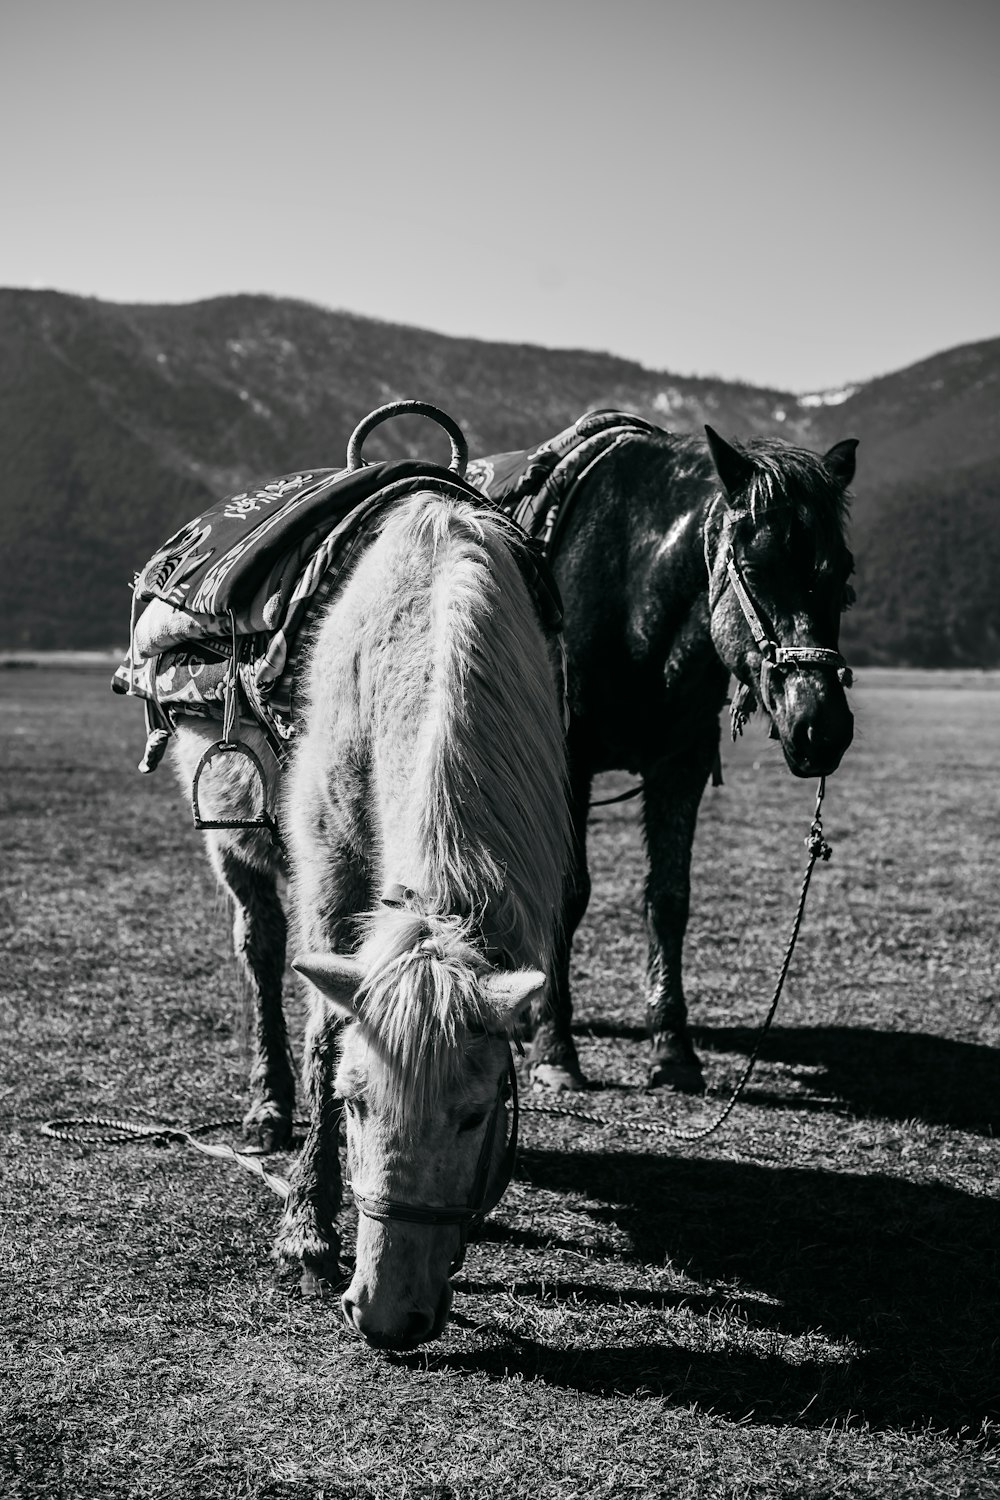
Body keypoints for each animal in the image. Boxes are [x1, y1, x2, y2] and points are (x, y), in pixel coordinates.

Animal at [473, 417, 857, 1098]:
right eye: (753, 567)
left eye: (841, 571)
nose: (823, 729)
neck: (632, 586)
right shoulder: (570, 762)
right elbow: (569, 894)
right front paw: (555, 1047)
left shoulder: (680, 765)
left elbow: (669, 898)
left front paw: (673, 1045)